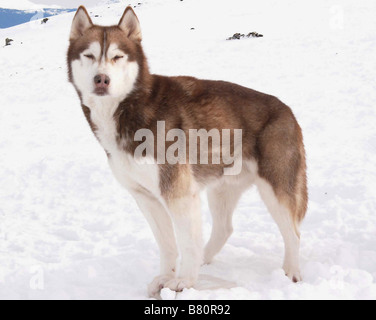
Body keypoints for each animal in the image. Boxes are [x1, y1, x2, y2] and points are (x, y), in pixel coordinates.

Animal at [67, 5, 308, 298]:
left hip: (276, 188)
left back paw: (291, 273)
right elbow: (168, 244)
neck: (129, 109)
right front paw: (167, 276)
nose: (101, 79)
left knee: (293, 232)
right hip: (221, 189)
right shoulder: (146, 197)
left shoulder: (178, 193)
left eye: (117, 56)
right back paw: (205, 259)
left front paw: (184, 281)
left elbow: (185, 242)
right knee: (224, 228)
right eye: (89, 55)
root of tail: (287, 110)